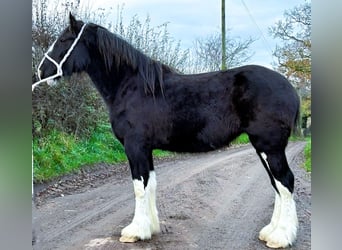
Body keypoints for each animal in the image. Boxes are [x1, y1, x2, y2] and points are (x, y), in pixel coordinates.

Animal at [37, 13, 300, 248]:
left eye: (63, 40)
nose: (41, 71)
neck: (132, 86)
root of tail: (290, 89)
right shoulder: (146, 149)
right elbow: (150, 184)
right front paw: (151, 228)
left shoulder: (135, 147)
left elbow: (139, 187)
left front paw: (134, 232)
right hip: (264, 147)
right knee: (277, 184)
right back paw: (271, 232)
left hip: (269, 146)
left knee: (285, 181)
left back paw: (280, 237)